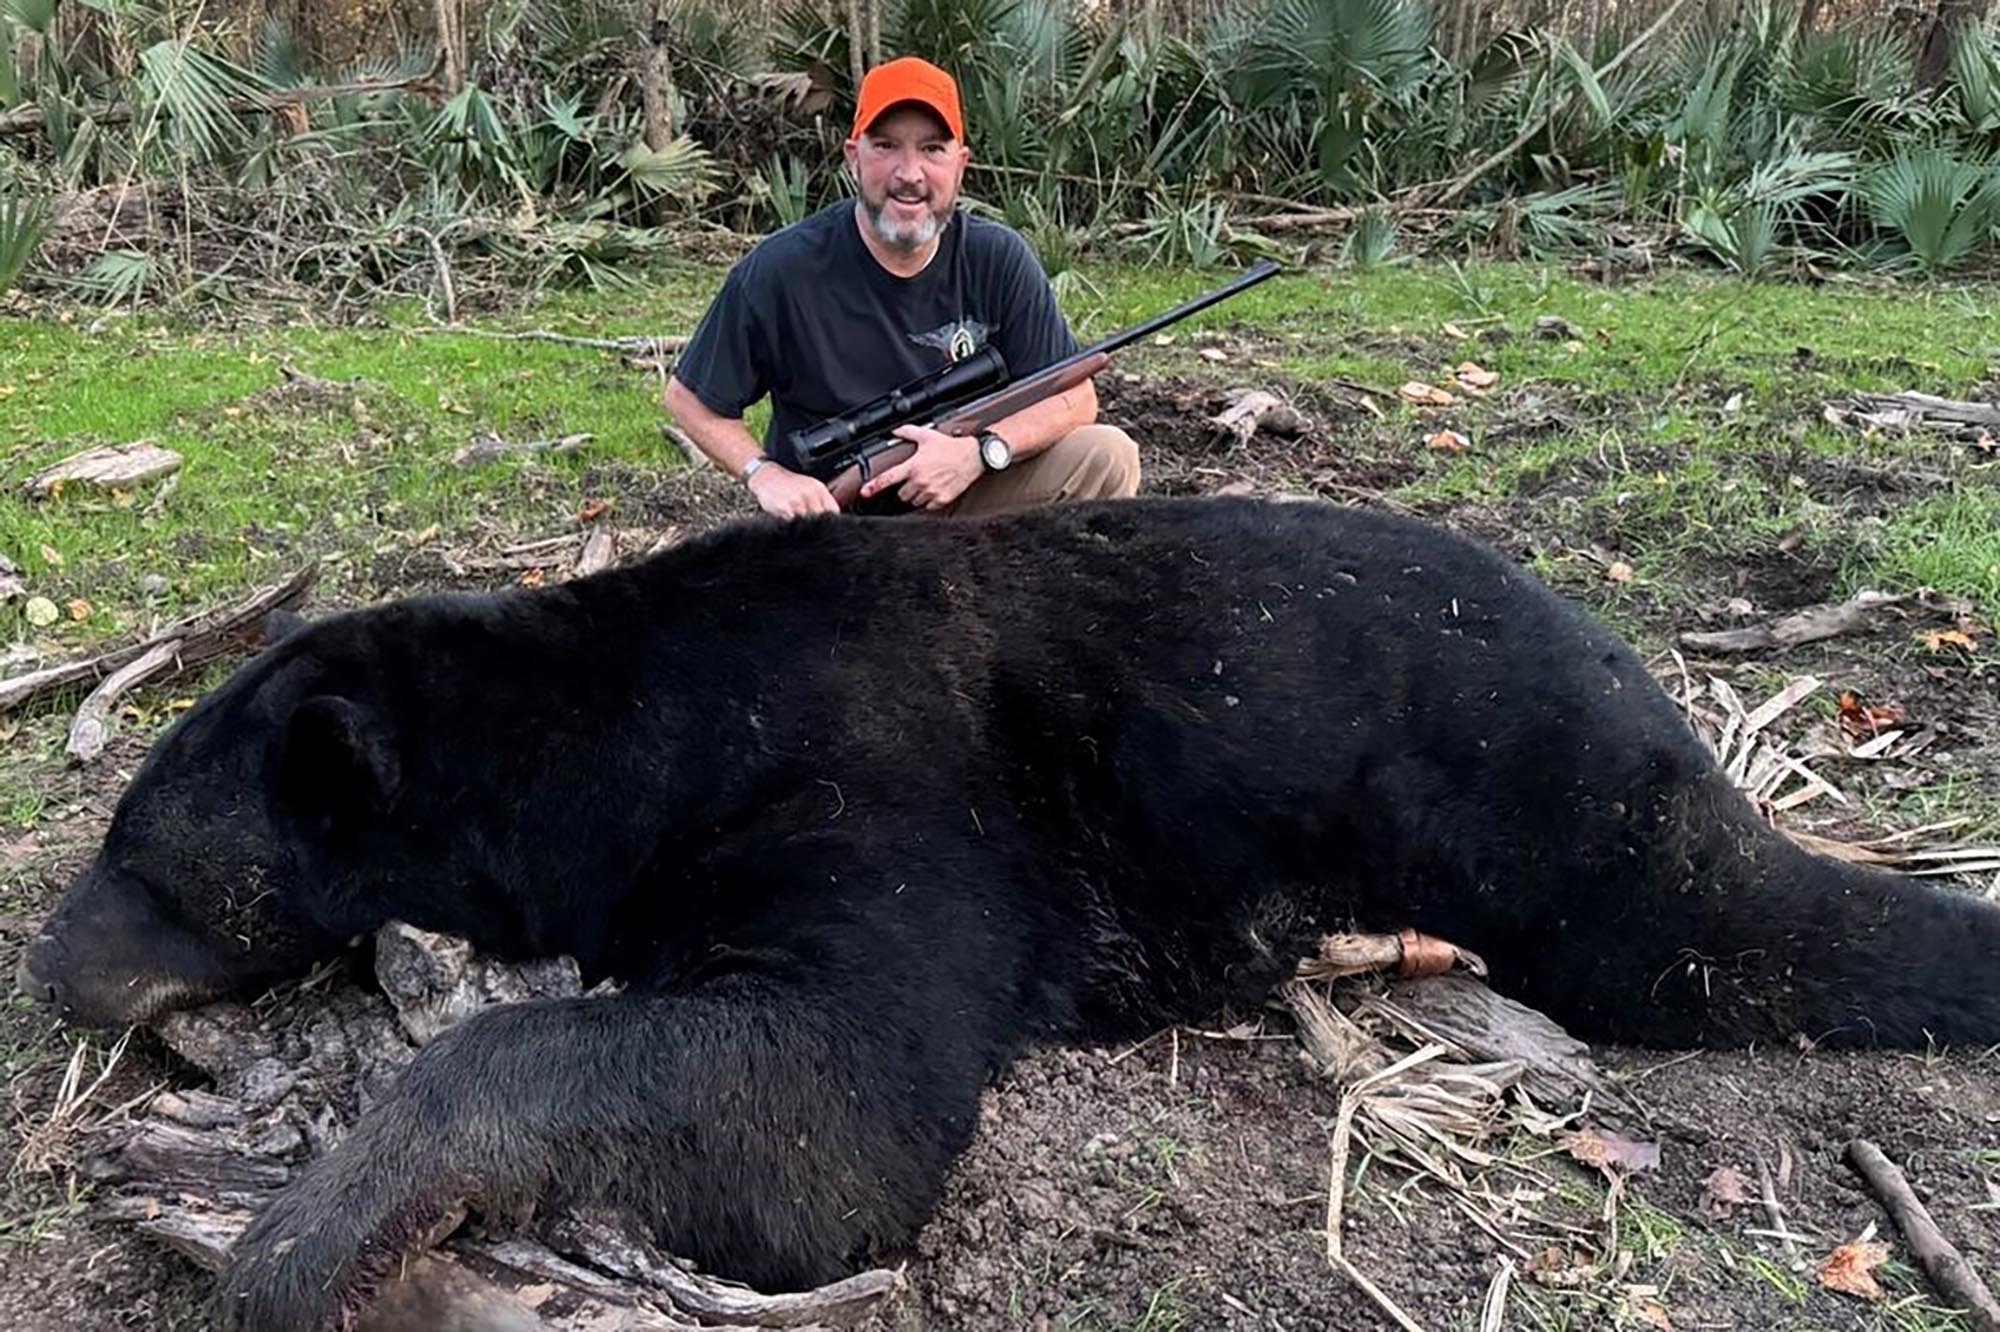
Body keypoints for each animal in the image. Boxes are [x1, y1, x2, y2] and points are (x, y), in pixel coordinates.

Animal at [18, 494, 2000, 1332]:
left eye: (149, 859)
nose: (43, 965)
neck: (619, 729)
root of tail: (1644, 677)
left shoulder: (877, 783)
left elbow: (825, 1108)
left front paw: (297, 1240)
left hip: (1549, 801)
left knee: (1735, 927)